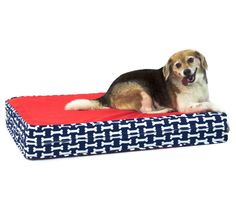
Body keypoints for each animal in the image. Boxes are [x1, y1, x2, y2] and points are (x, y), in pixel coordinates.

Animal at [64, 49, 219, 114]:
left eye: (190, 59)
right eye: (177, 65)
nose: (186, 72)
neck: (195, 85)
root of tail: (107, 92)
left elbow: (205, 101)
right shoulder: (184, 107)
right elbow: (207, 104)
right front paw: (218, 107)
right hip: (142, 93)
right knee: (145, 111)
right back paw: (164, 110)